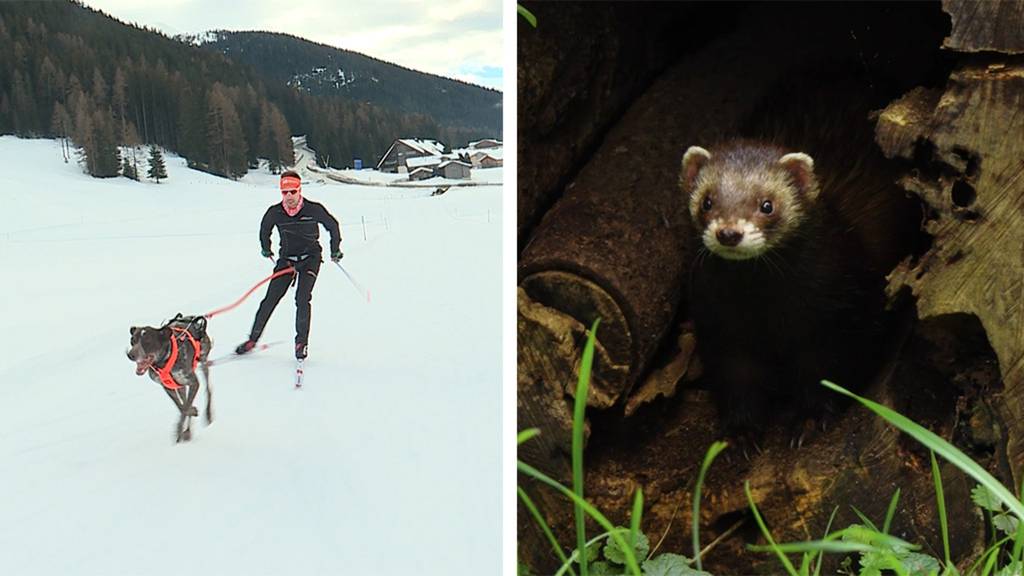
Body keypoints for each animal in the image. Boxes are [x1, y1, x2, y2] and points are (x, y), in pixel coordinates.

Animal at [129, 311, 215, 440]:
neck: (163, 361)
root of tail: (194, 320)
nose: (130, 355)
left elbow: (185, 408)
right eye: (132, 340)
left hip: (204, 361)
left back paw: (208, 414)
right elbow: (182, 406)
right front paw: (191, 413)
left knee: (208, 389)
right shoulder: (168, 387)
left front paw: (178, 431)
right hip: (180, 386)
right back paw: (188, 430)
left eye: (147, 340)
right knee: (185, 399)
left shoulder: (193, 382)